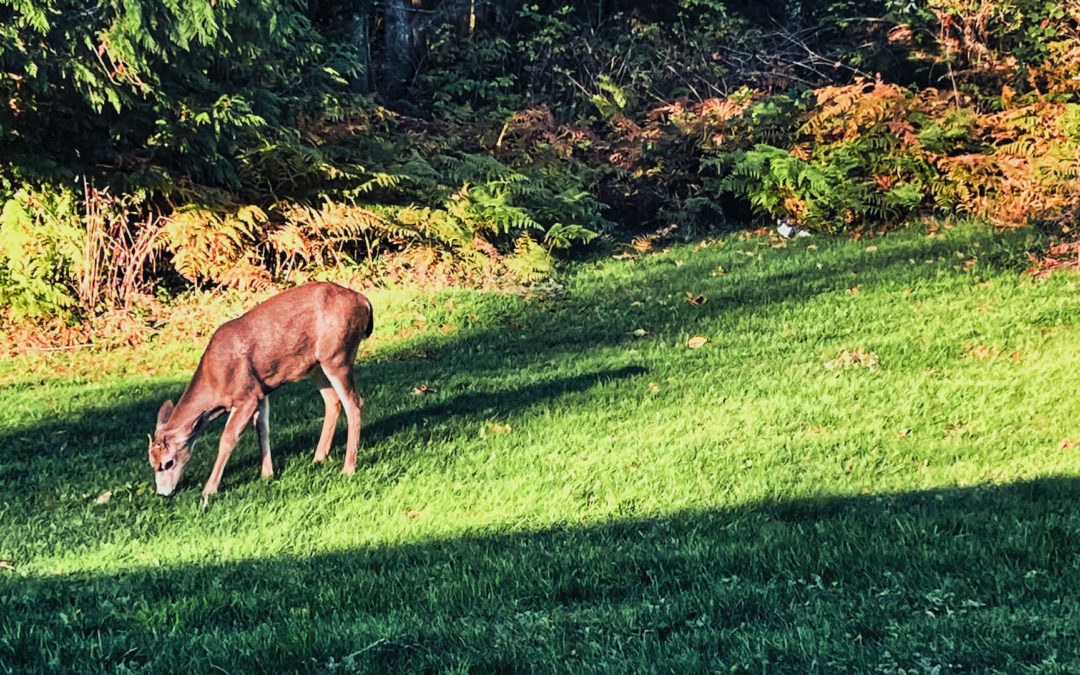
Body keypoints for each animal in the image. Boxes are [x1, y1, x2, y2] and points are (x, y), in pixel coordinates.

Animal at [149, 278, 375, 494]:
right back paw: (319, 457)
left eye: (168, 462)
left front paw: (209, 489)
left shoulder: (246, 395)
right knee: (333, 401)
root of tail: (365, 302)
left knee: (354, 403)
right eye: (152, 463)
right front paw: (267, 473)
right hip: (316, 366)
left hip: (338, 356)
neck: (215, 383)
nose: (163, 493)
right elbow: (262, 428)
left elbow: (228, 438)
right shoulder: (260, 391)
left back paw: (348, 468)